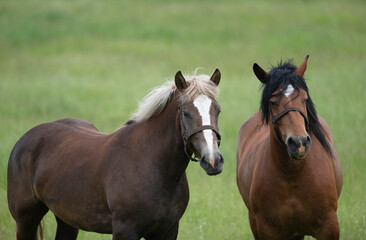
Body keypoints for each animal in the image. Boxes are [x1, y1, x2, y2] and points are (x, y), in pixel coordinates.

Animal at [8, 68, 224, 239]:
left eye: (218, 110)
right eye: (186, 112)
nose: (213, 161)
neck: (151, 165)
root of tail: (26, 138)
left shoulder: (167, 231)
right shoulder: (124, 230)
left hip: (67, 221)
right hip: (26, 220)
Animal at [237, 56, 344, 240]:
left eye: (305, 99)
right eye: (273, 102)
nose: (299, 143)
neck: (292, 175)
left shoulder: (329, 227)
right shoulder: (267, 230)